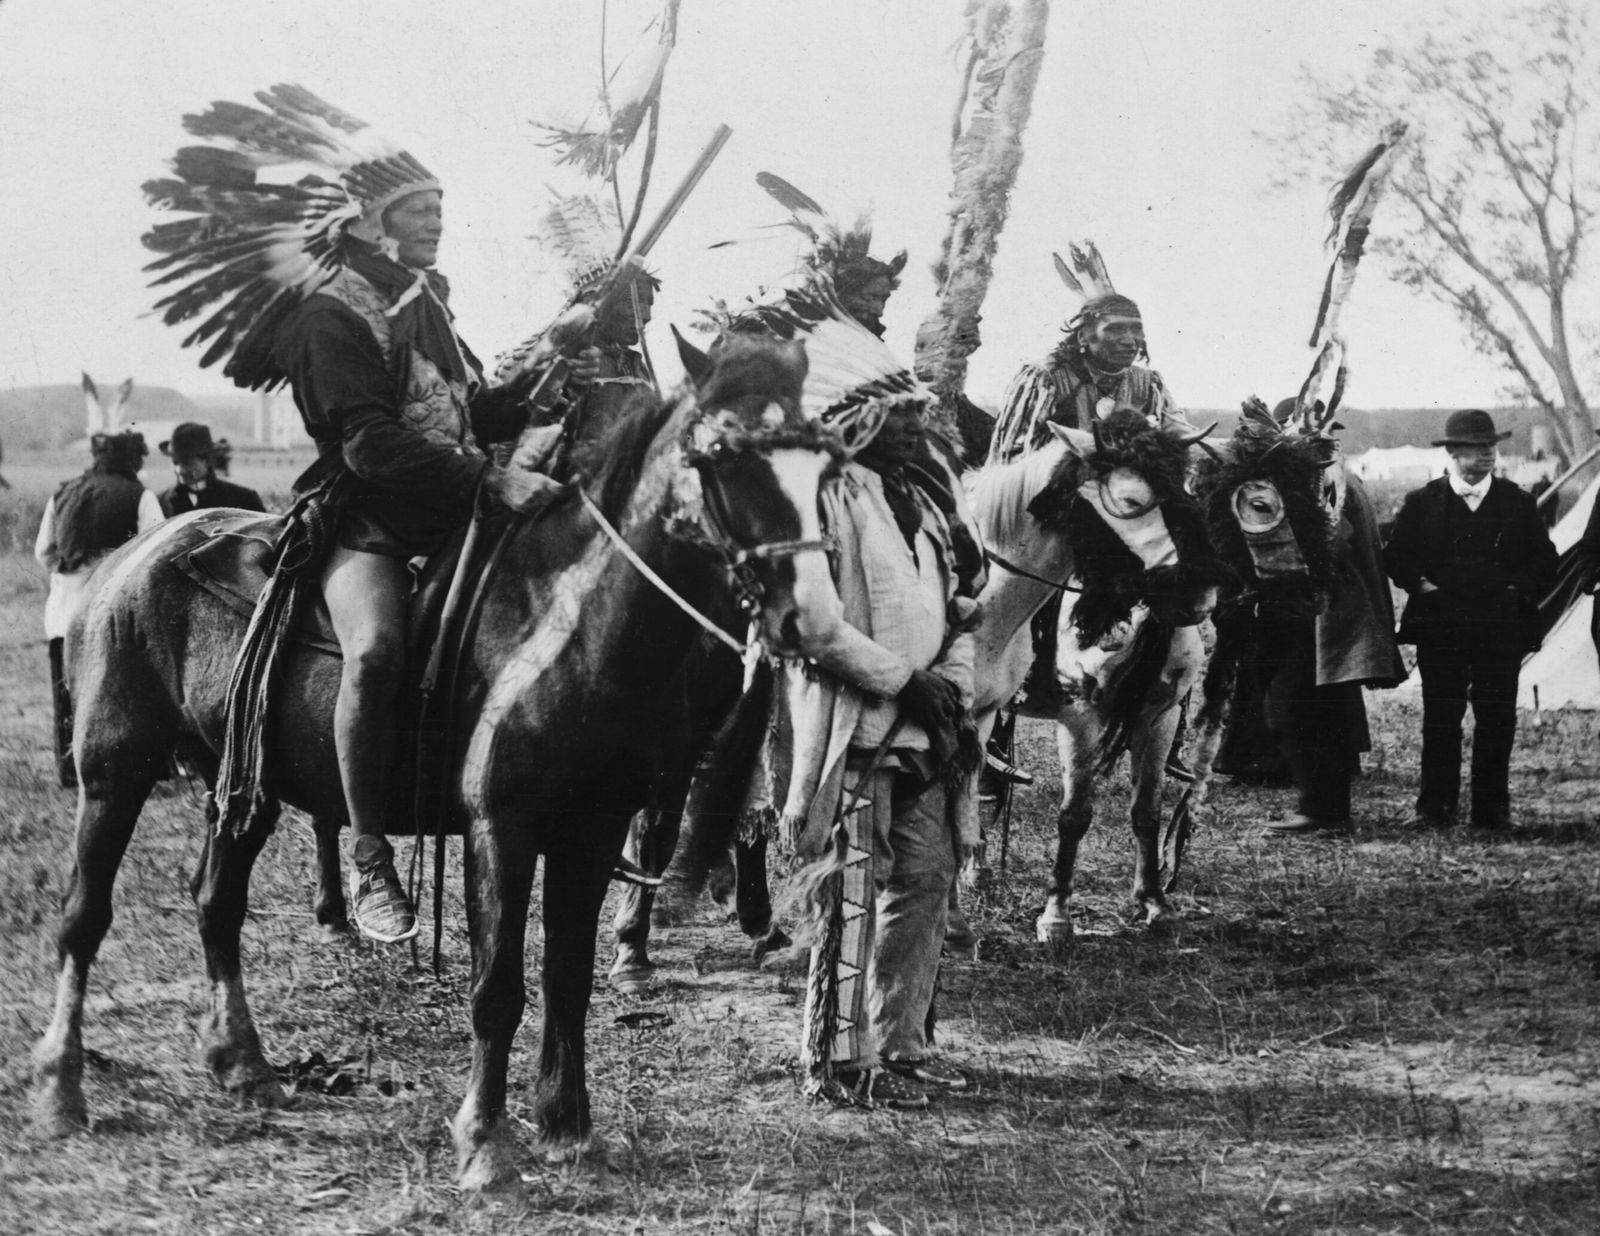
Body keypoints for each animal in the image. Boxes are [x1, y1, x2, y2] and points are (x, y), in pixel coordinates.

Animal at [30, 334, 850, 1192]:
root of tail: (128, 557)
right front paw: (486, 1143)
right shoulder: (504, 829)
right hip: (114, 771)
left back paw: (243, 1064)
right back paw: (61, 1088)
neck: (569, 624)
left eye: (826, 464)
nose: (814, 619)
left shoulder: (591, 831)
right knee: (84, 917)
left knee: (215, 904)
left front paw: (567, 1127)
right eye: (725, 455)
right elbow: (498, 988)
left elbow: (568, 977)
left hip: (245, 788)